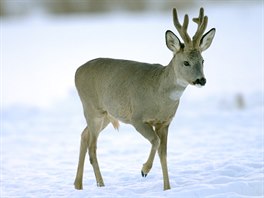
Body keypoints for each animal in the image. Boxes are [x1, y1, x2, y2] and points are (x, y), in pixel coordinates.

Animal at [73, 7, 214, 190]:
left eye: (203, 60)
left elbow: (163, 154)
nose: (201, 80)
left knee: (84, 135)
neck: (160, 96)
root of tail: (76, 72)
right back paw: (100, 184)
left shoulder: (165, 122)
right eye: (186, 62)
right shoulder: (137, 117)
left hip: (106, 114)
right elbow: (155, 141)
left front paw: (167, 188)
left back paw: (78, 184)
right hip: (91, 108)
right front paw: (144, 170)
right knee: (92, 147)